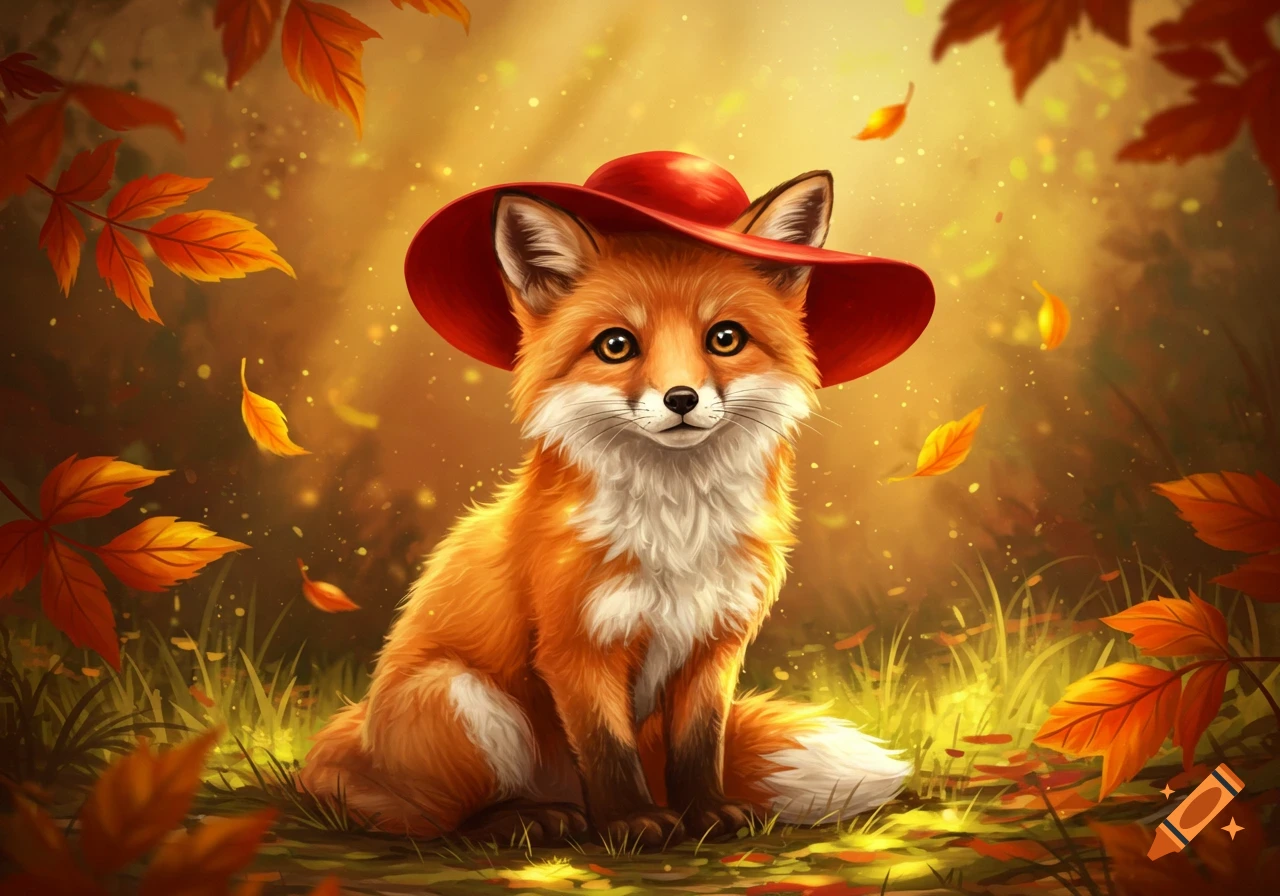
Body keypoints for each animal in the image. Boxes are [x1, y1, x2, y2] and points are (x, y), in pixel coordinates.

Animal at [299, 167, 912, 846]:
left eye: (725, 338)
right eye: (616, 345)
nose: (681, 398)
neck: (677, 528)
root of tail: (350, 740)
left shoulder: (713, 643)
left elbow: (701, 745)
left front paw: (707, 813)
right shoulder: (577, 645)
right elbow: (606, 747)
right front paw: (632, 822)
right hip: (466, 699)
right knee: (432, 818)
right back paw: (531, 818)